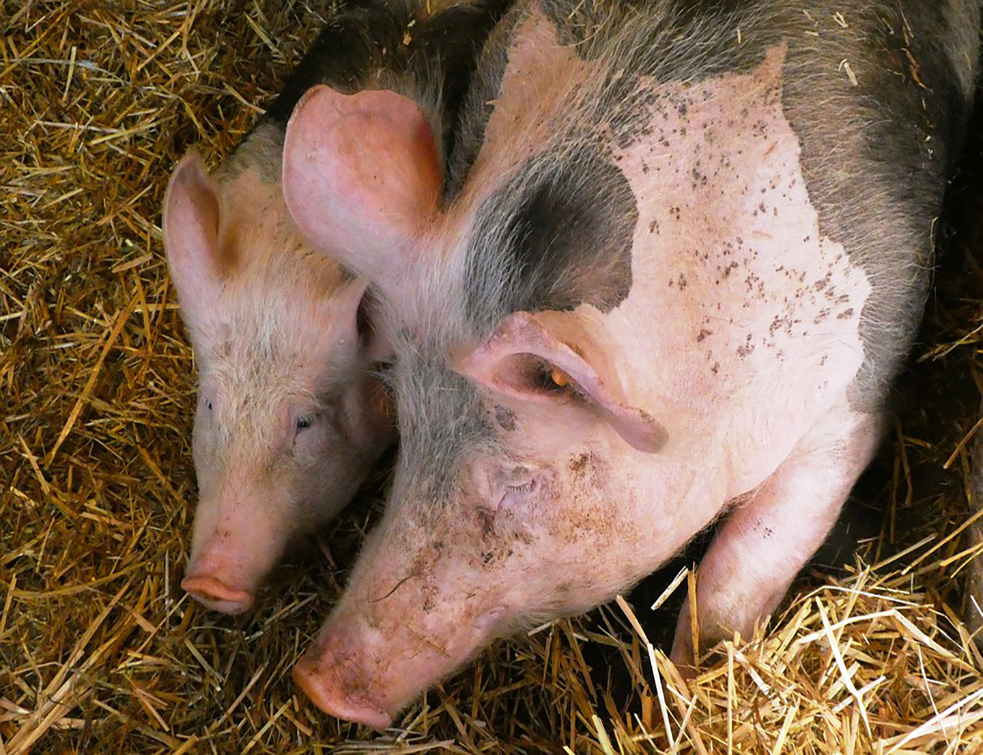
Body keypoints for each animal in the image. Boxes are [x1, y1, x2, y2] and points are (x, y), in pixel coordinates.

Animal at [282, 0, 981, 726]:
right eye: (408, 428)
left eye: (521, 480)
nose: (316, 682)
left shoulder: (855, 386)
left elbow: (745, 565)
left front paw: (690, 686)